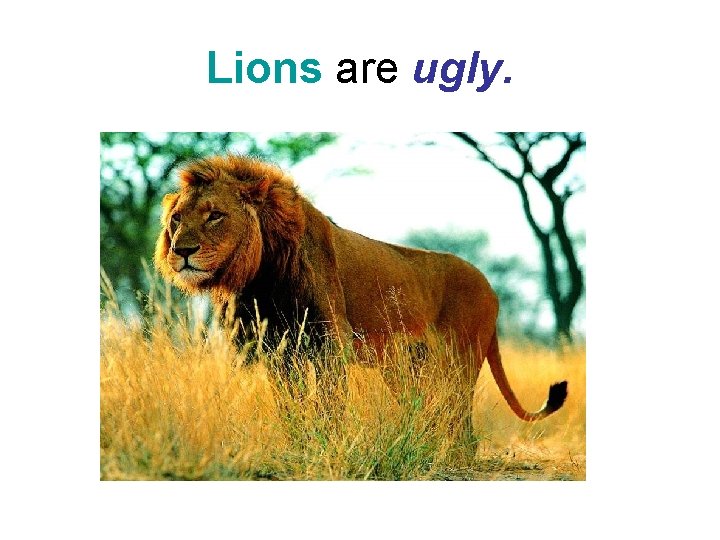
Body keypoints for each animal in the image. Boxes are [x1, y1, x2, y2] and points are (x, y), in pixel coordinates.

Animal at [154, 154, 567, 424]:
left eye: (215, 215)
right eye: (176, 219)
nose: (182, 251)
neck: (262, 278)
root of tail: (492, 287)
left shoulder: (330, 345)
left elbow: (330, 404)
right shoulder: (277, 349)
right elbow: (291, 405)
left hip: (458, 360)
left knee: (457, 417)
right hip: (407, 366)